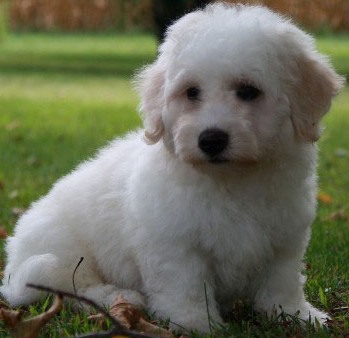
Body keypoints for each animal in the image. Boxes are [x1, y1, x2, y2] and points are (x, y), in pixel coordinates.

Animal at [0, 2, 342, 334]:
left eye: (248, 91)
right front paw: (196, 323)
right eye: (192, 92)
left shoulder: (284, 236)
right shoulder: (174, 242)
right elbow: (185, 285)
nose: (211, 139)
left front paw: (297, 315)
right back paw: (119, 297)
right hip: (59, 252)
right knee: (74, 287)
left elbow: (281, 281)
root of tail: (13, 260)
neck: (231, 178)